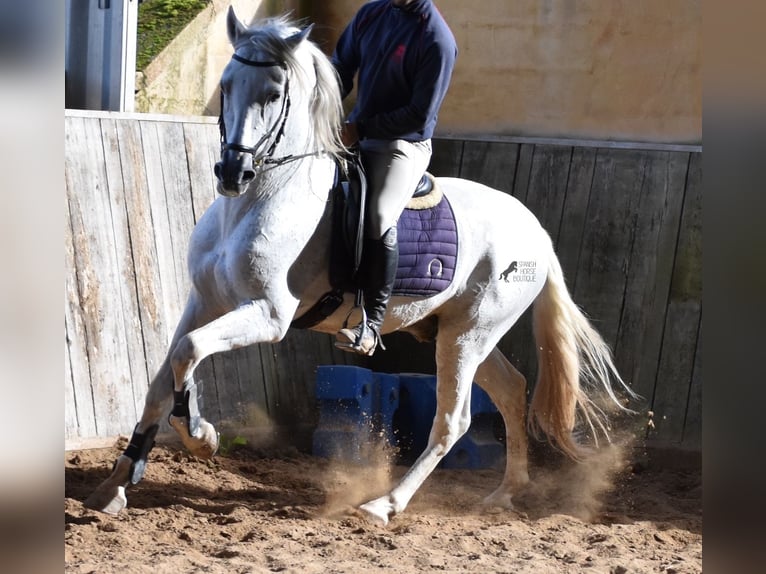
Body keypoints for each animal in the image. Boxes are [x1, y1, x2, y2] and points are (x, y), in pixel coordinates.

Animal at [87, 9, 636, 528]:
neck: (259, 199)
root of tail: (536, 232)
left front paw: (200, 435)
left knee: (453, 421)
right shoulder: (205, 301)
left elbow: (190, 352)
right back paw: (504, 494)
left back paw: (384, 505)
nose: (232, 172)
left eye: (274, 93)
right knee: (511, 389)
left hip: (469, 335)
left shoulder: (268, 314)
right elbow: (165, 374)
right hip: (458, 330)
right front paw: (117, 482)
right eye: (225, 86)